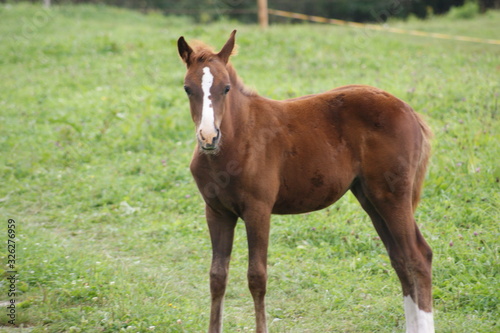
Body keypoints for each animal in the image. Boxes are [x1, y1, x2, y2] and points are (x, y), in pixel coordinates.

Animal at [178, 29, 436, 330]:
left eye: (226, 88)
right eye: (188, 88)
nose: (208, 137)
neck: (237, 139)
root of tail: (409, 110)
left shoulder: (258, 210)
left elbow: (257, 277)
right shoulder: (217, 212)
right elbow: (217, 277)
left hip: (392, 195)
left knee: (417, 257)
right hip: (371, 198)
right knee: (400, 258)